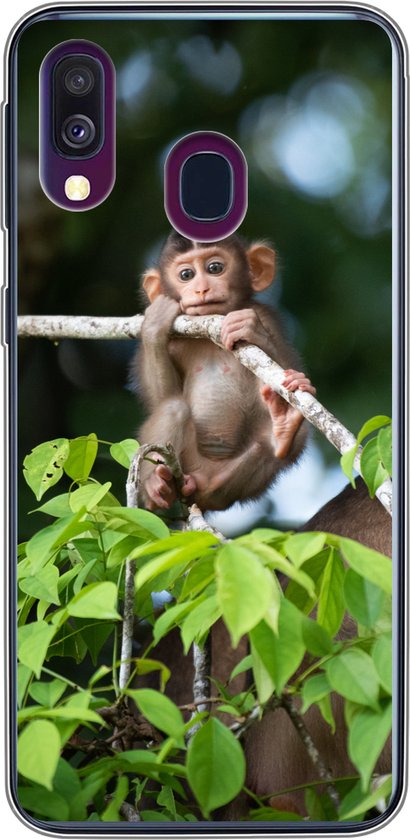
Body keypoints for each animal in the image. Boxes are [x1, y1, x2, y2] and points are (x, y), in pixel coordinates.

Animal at [131, 230, 316, 513]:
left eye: (215, 268)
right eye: (186, 275)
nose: (201, 288)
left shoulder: (266, 316)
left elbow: (276, 364)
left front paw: (250, 329)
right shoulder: (173, 338)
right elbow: (160, 397)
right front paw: (155, 324)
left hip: (225, 482)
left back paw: (282, 430)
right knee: (173, 407)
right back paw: (157, 488)